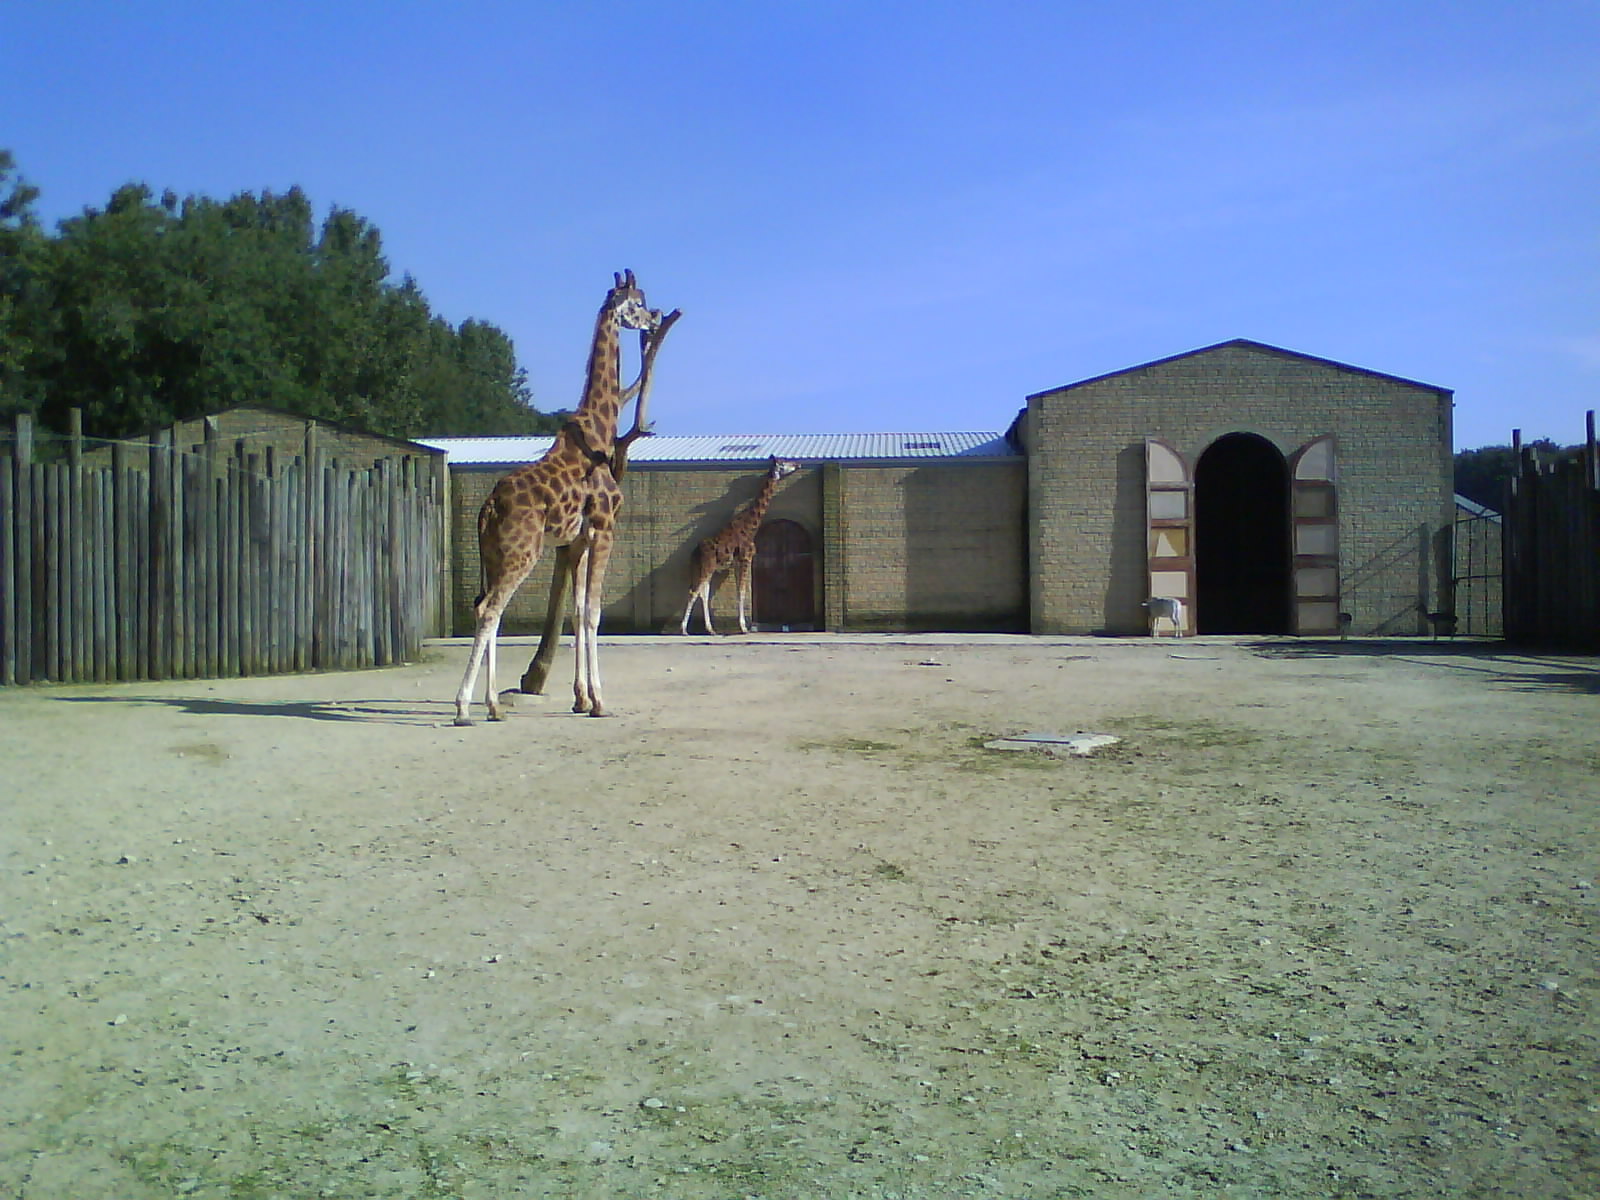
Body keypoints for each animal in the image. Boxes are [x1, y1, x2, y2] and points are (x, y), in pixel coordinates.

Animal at [453, 270, 667, 723]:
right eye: (638, 302)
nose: (656, 318)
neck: (600, 432)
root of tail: (488, 507)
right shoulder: (604, 528)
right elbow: (593, 612)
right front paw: (599, 701)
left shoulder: (576, 539)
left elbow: (577, 610)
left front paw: (581, 698)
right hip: (522, 552)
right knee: (489, 609)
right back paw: (463, 708)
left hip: (494, 554)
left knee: (486, 608)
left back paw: (493, 706)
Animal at [681, 457, 801, 635]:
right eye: (785, 462)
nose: (798, 464)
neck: (750, 526)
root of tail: (694, 553)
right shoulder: (746, 558)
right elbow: (743, 591)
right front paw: (744, 628)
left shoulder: (737, 562)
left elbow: (739, 590)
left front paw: (743, 625)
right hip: (707, 566)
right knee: (694, 591)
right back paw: (684, 630)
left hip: (703, 567)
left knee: (703, 592)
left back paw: (711, 630)